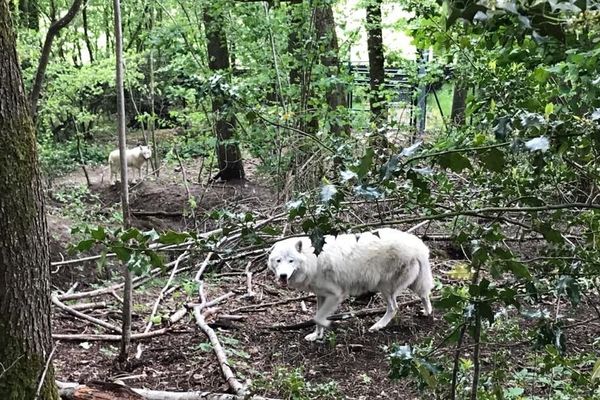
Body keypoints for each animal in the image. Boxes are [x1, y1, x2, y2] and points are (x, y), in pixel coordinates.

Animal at [270, 228, 434, 340]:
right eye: (278, 260)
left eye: (291, 261)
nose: (283, 275)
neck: (313, 259)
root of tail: (418, 245)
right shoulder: (321, 295)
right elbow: (316, 317)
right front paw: (316, 336)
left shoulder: (336, 295)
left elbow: (318, 318)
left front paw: (326, 325)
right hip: (411, 284)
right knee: (425, 295)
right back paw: (427, 312)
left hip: (385, 287)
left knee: (394, 308)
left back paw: (377, 326)